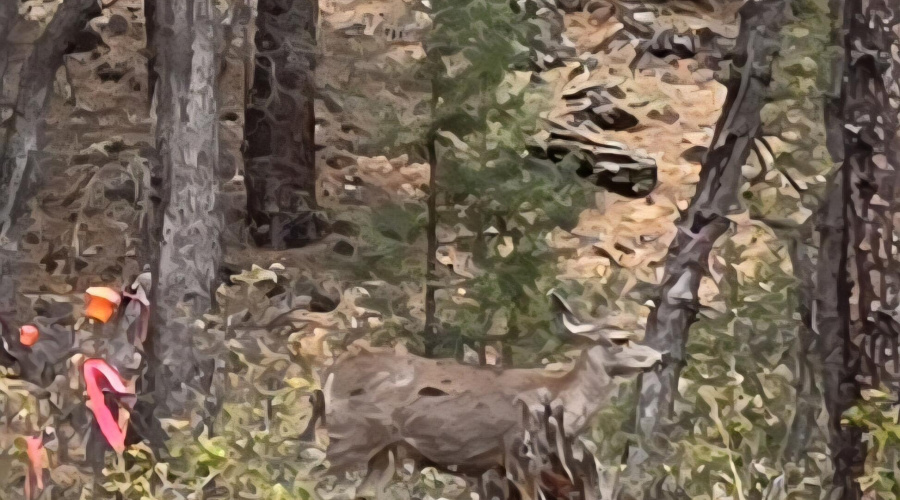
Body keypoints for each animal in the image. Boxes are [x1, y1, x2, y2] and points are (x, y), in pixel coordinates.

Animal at [303, 291, 662, 499]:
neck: (559, 394)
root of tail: (329, 374)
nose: (661, 357)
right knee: (309, 476)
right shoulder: (518, 454)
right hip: (350, 437)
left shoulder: (494, 468)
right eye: (619, 340)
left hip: (384, 453)